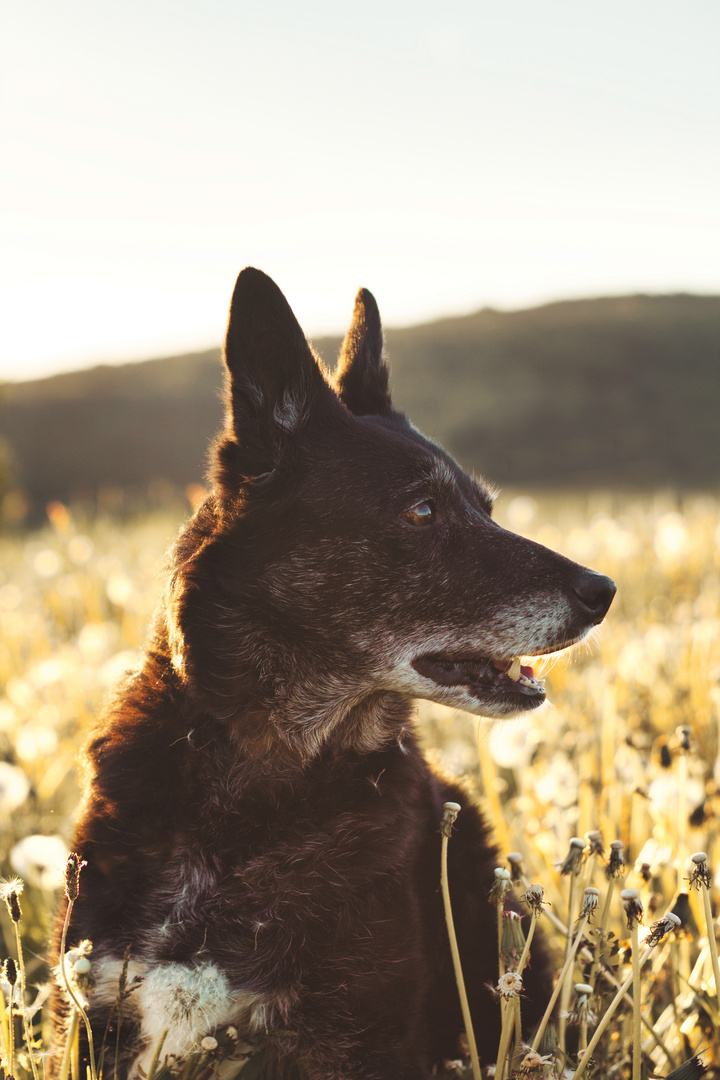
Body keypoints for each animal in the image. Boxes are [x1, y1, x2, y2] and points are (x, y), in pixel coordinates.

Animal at [50, 265, 613, 1075]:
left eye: (486, 506)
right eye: (422, 511)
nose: (604, 591)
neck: (257, 791)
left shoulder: (355, 1037)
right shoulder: (97, 1016)